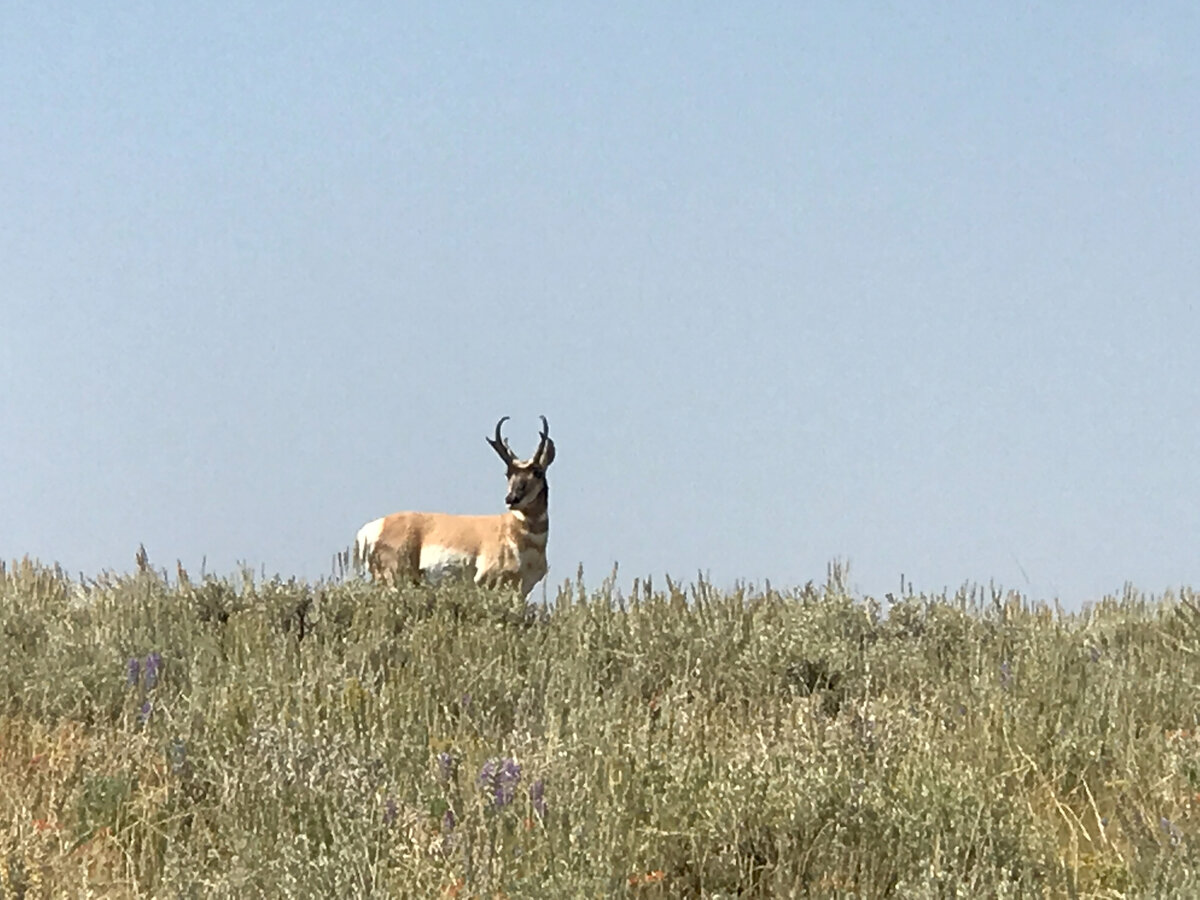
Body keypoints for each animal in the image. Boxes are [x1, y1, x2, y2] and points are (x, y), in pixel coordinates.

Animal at [354, 416, 555, 598]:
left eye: (538, 472)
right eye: (508, 473)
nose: (511, 498)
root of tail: (371, 528)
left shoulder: (522, 590)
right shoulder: (486, 582)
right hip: (394, 579)